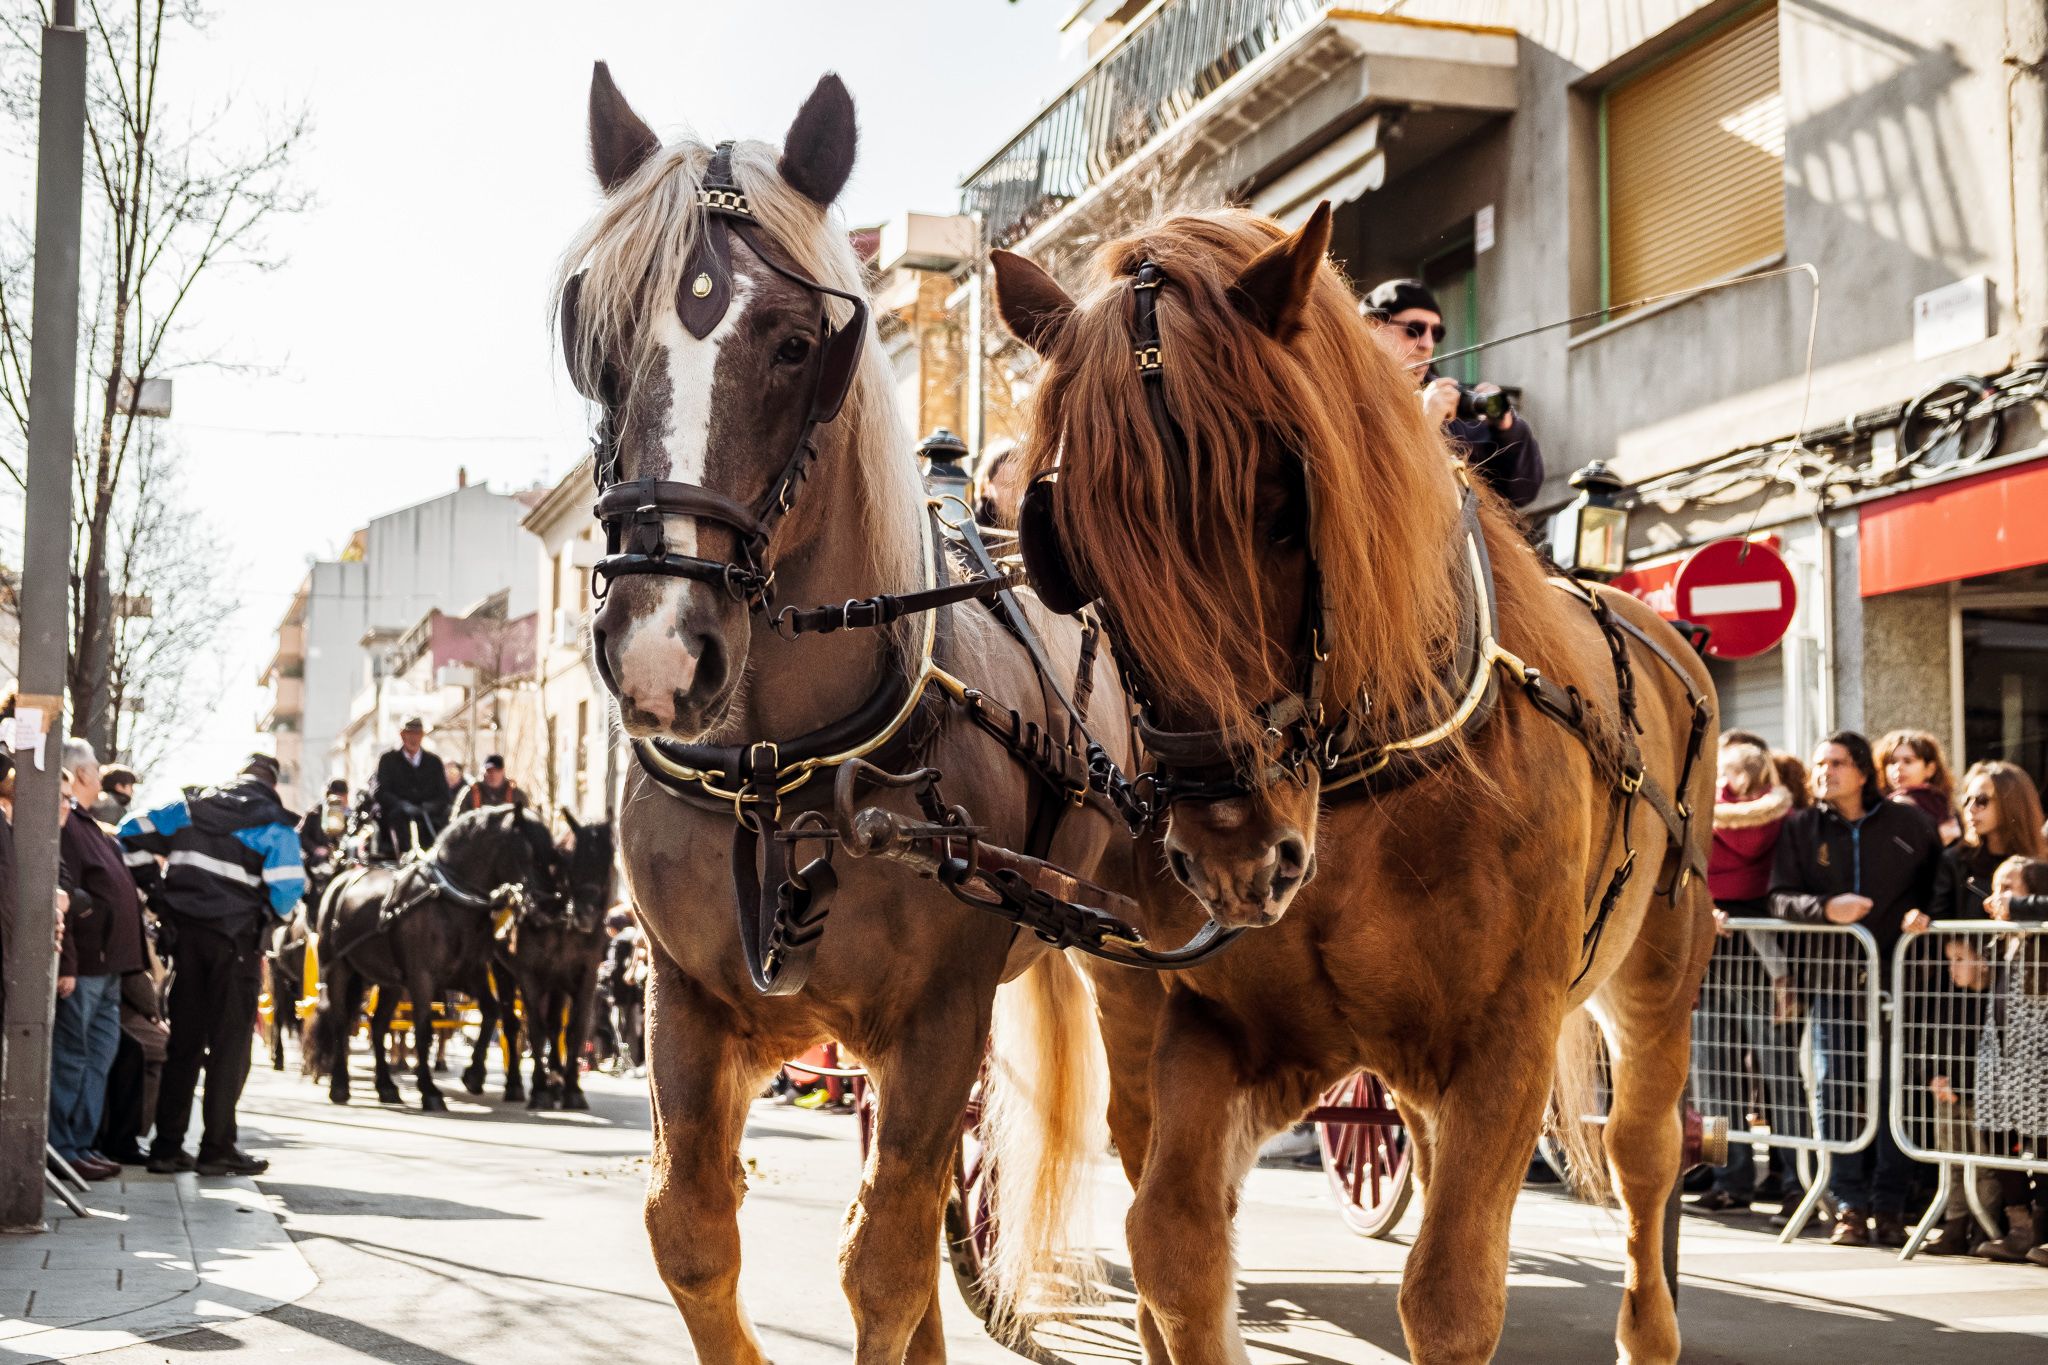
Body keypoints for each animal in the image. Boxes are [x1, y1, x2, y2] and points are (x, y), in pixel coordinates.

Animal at [301, 810, 561, 1113]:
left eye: (553, 854)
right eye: (530, 853)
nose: (550, 907)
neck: (451, 902)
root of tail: (341, 880)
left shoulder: (468, 975)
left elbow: (490, 1012)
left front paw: (474, 1075)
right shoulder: (421, 978)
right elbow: (424, 1029)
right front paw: (430, 1091)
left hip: (388, 982)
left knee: (377, 1026)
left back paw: (386, 1087)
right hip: (338, 969)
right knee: (340, 1021)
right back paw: (340, 1085)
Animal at [491, 810, 610, 1113]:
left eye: (609, 860)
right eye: (570, 858)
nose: (586, 915)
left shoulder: (585, 975)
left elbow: (575, 1029)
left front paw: (571, 1090)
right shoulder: (530, 976)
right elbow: (536, 1029)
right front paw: (540, 1090)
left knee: (556, 1026)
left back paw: (556, 1081)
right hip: (502, 970)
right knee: (512, 1024)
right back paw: (515, 1084)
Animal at [561, 66, 1130, 1365]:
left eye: (794, 345)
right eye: (595, 340)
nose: (658, 649)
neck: (782, 768)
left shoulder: (937, 1022)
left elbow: (879, 1264)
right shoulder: (688, 1004)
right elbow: (692, 1233)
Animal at [991, 205, 1712, 1365]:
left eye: (1285, 505)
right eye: (1073, 547)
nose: (1234, 852)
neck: (1364, 786)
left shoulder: (1507, 1035)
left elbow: (1452, 1292)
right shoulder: (1222, 1028)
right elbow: (1174, 1243)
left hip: (1656, 971)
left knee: (1645, 1158)